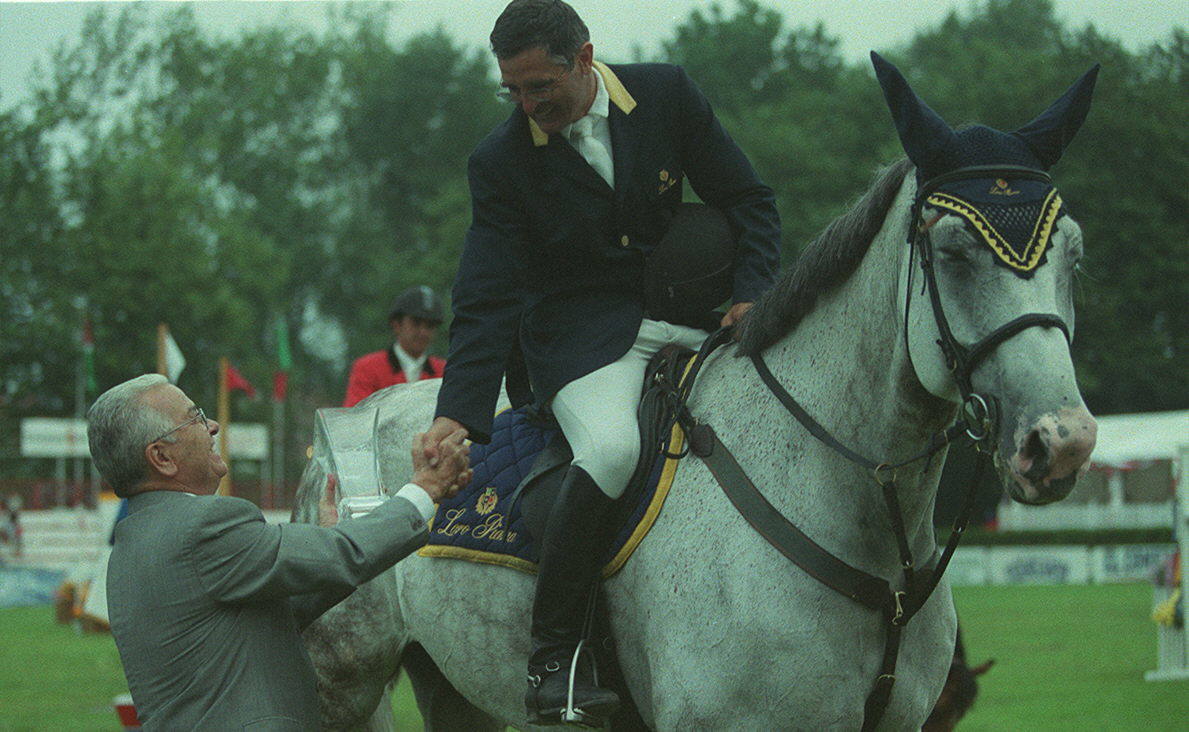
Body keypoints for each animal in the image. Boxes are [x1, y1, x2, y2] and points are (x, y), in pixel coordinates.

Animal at [292, 58, 1098, 732]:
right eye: (955, 254)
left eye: (1073, 256)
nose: (1060, 443)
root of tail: (348, 424)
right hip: (343, 689)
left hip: (456, 688)